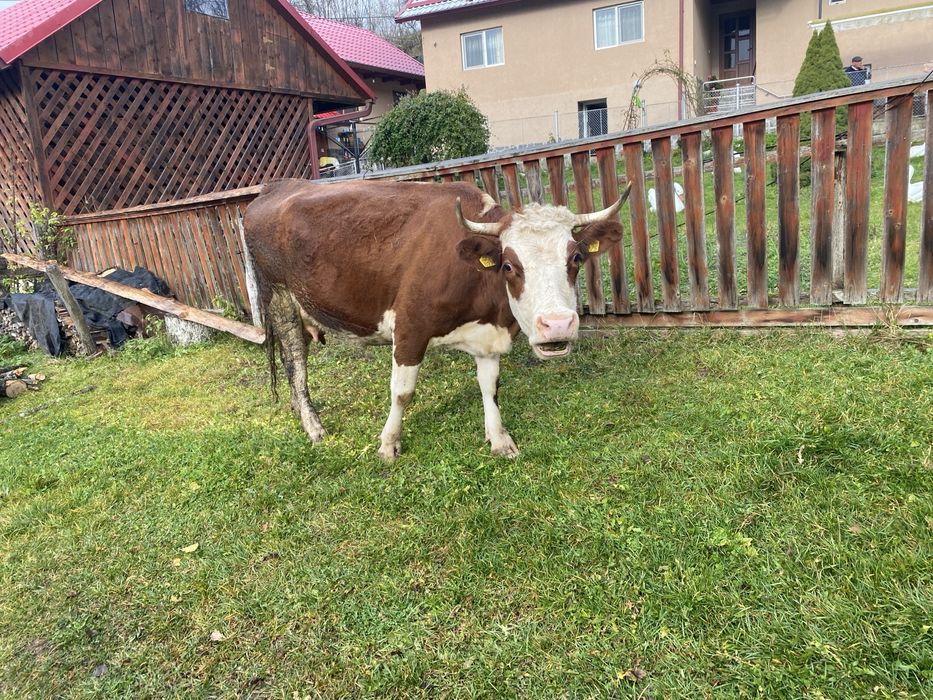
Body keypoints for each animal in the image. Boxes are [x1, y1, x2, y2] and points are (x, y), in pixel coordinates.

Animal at [243, 178, 631, 460]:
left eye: (576, 258)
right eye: (508, 265)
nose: (557, 325)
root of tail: (274, 187)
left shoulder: (487, 337)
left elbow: (490, 387)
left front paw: (499, 439)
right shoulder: (409, 328)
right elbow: (402, 392)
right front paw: (388, 445)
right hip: (279, 297)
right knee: (295, 362)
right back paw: (313, 426)